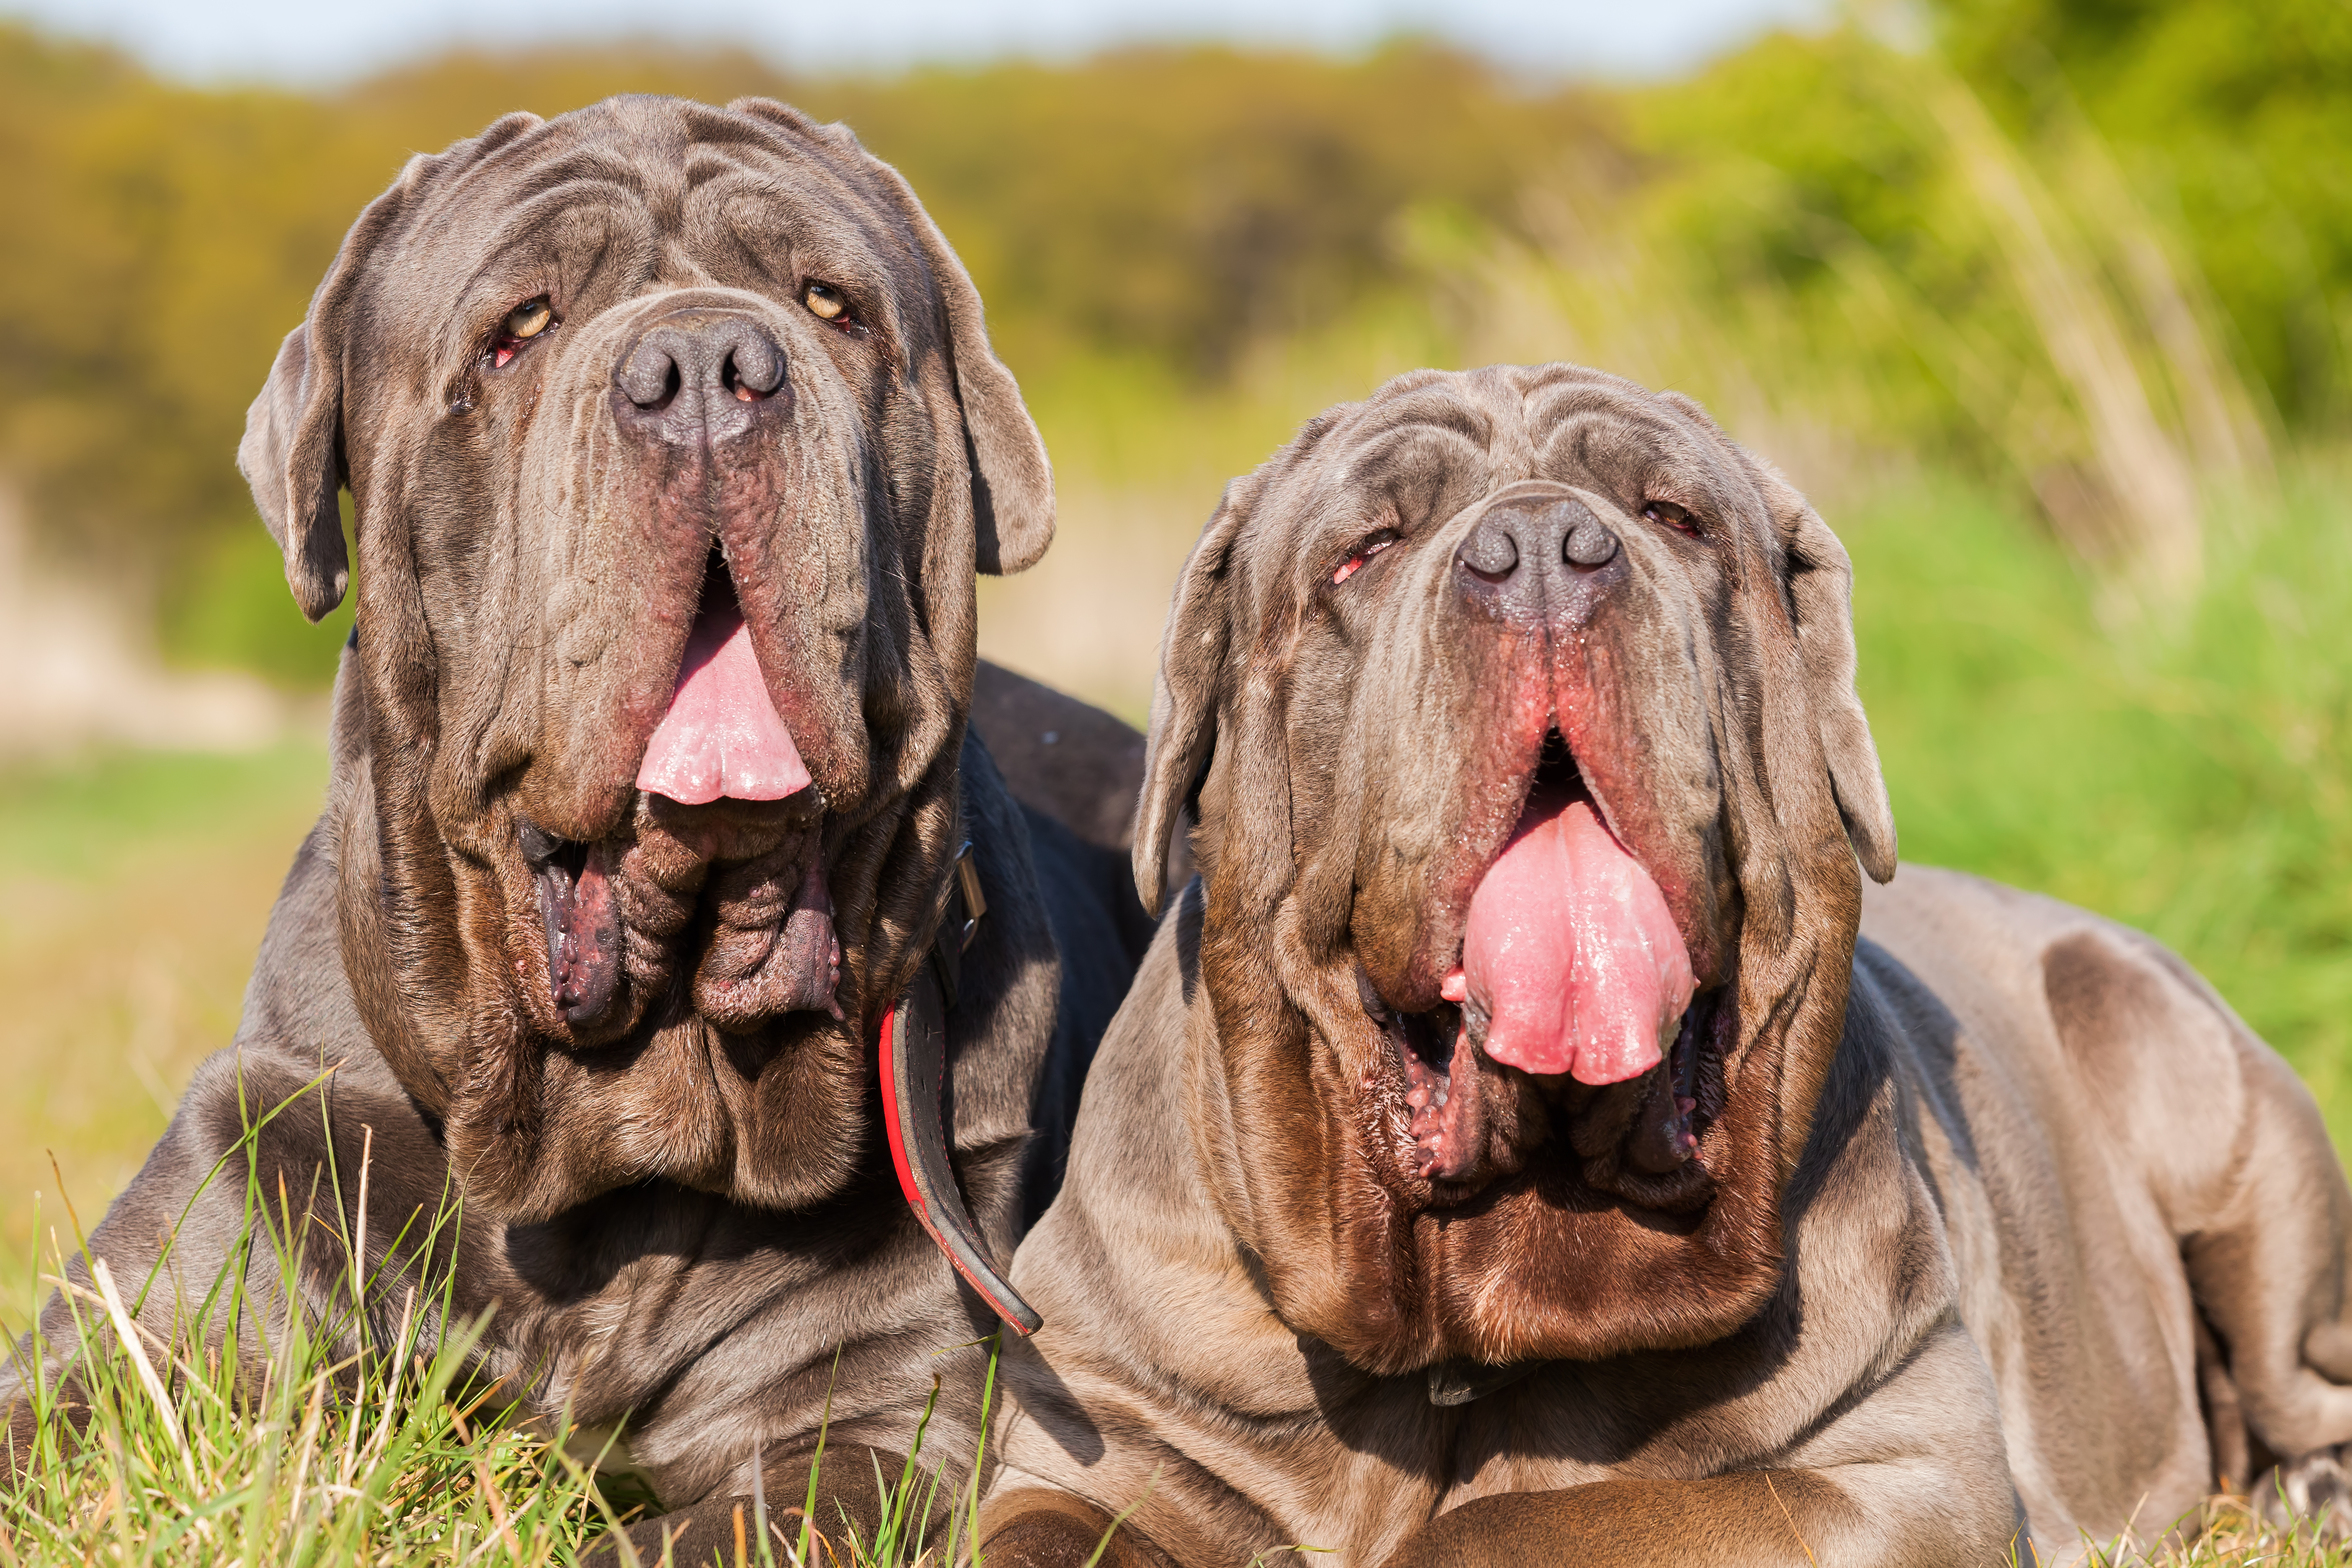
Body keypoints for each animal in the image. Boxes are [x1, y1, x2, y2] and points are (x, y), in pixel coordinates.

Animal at [978, 362, 2352, 1561]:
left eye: (1672, 518)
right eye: (1363, 549)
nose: (1538, 550)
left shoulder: (1897, 1469)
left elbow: (1509, 1525)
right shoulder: (1102, 1442)